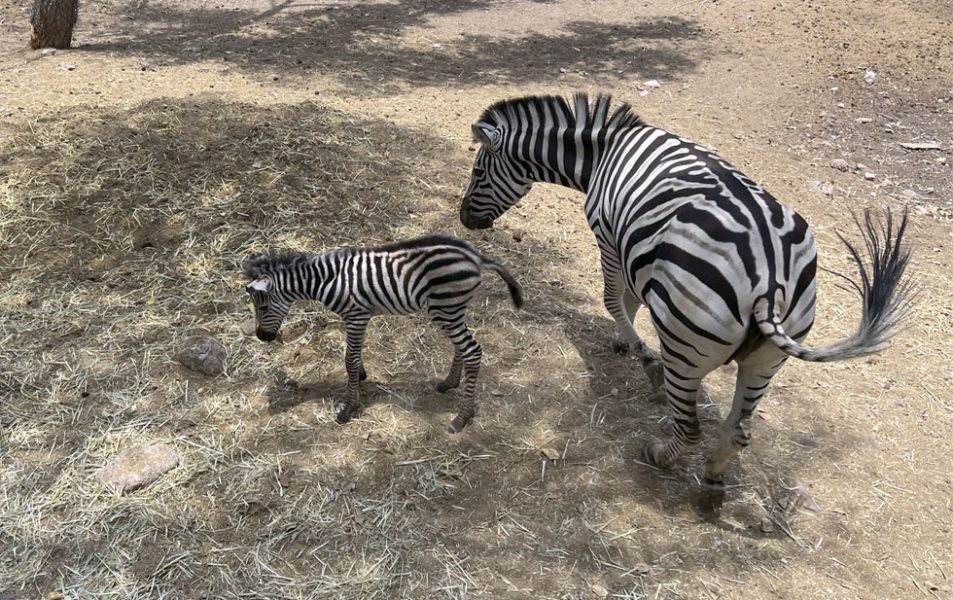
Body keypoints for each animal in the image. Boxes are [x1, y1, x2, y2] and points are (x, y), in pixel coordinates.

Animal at [243, 235, 524, 433]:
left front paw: (349, 407)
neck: (327, 280)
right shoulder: (356, 317)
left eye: (262, 307)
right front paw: (360, 377)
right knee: (463, 347)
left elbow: (349, 358)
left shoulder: (356, 315)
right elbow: (354, 355)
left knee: (472, 350)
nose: (262, 337)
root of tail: (475, 256)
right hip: (450, 309)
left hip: (445, 307)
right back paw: (449, 383)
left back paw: (463, 416)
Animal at [459, 93, 913, 488]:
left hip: (685, 346)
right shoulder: (635, 250)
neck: (603, 154)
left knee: (690, 427)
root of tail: (769, 276)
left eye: (478, 172)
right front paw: (625, 341)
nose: (465, 220)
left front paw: (642, 355)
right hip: (768, 358)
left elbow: (613, 298)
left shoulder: (607, 235)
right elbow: (629, 299)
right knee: (738, 431)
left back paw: (659, 453)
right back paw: (712, 476)